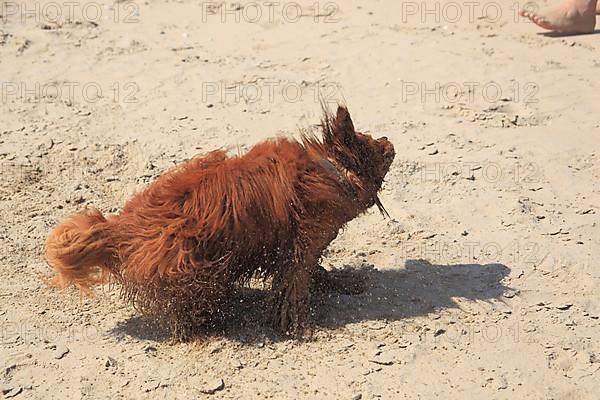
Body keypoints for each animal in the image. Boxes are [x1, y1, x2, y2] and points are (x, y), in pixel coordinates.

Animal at [45, 105, 394, 338]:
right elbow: (295, 286)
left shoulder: (297, 248)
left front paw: (341, 282)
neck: (327, 170)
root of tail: (120, 227)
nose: (389, 140)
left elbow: (313, 274)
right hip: (199, 265)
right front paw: (299, 325)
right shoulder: (302, 245)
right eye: (373, 146)